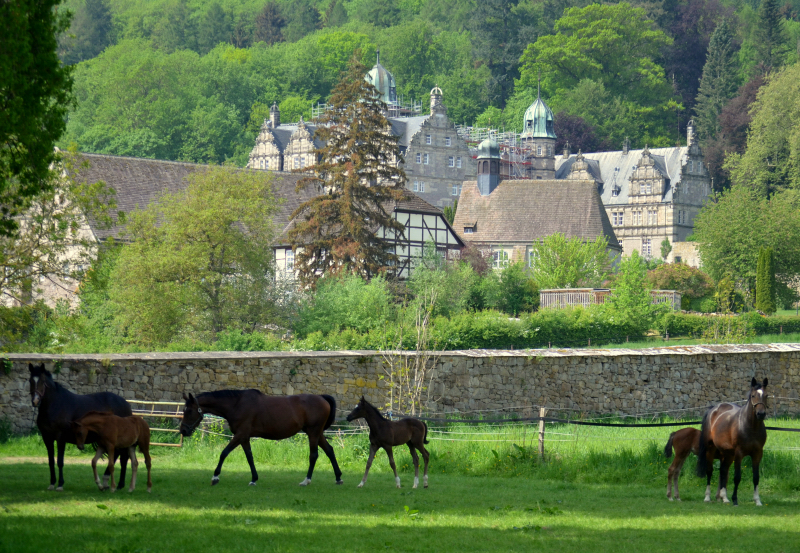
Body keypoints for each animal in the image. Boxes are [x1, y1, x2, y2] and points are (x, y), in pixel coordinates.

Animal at [180, 390, 342, 486]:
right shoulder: (244, 438)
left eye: (189, 410)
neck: (236, 404)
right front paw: (254, 479)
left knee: (314, 455)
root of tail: (322, 397)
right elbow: (249, 457)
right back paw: (338, 477)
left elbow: (224, 453)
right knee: (330, 451)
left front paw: (215, 477)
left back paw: (306, 480)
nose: (183, 430)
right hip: (316, 433)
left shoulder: (239, 435)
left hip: (313, 433)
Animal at [692, 376, 768, 504]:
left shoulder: (757, 453)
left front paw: (757, 500)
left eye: (766, 395)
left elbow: (756, 478)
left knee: (723, 471)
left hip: (727, 454)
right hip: (711, 450)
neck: (750, 427)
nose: (761, 414)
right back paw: (707, 497)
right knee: (709, 471)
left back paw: (724, 498)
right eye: (753, 396)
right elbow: (737, 477)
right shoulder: (739, 453)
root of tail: (714, 409)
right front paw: (735, 500)